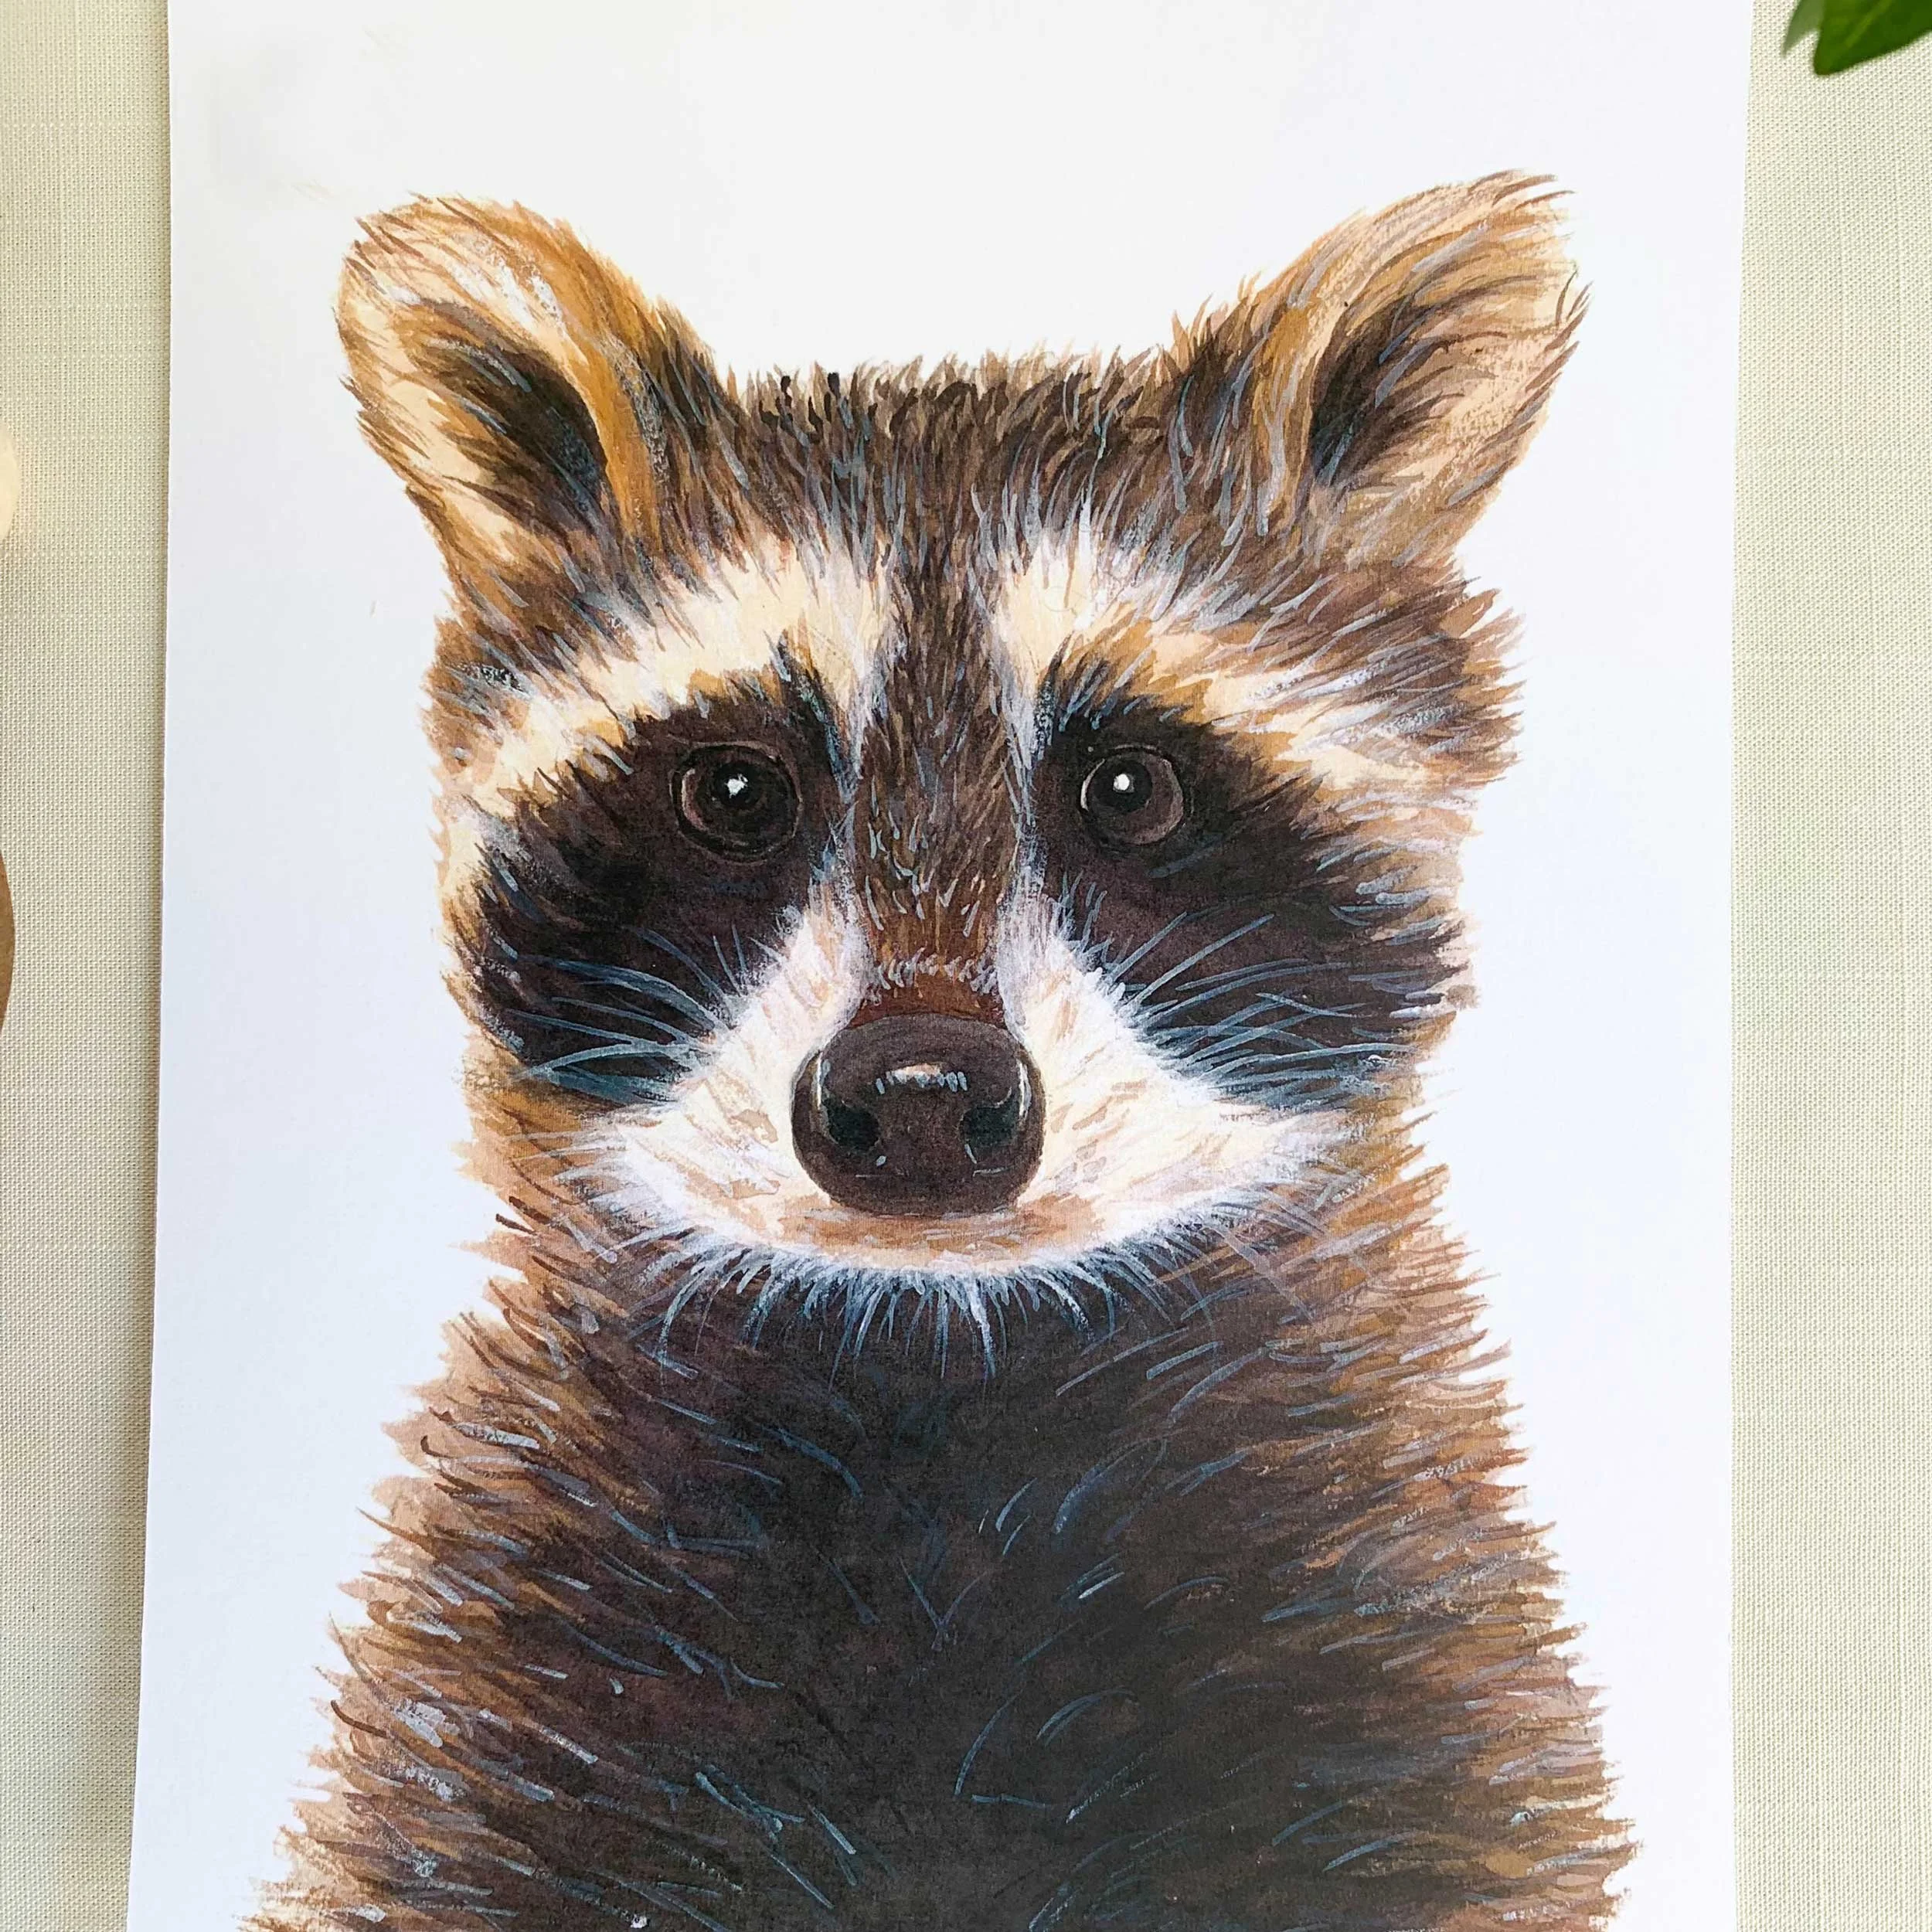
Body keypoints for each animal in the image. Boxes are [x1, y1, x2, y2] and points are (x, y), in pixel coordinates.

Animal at [258, 173, 1626, 1932]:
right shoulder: (498, 1711)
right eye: (734, 790)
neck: (935, 1360)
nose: (918, 1095)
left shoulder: (1411, 1693)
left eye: (1130, 787)